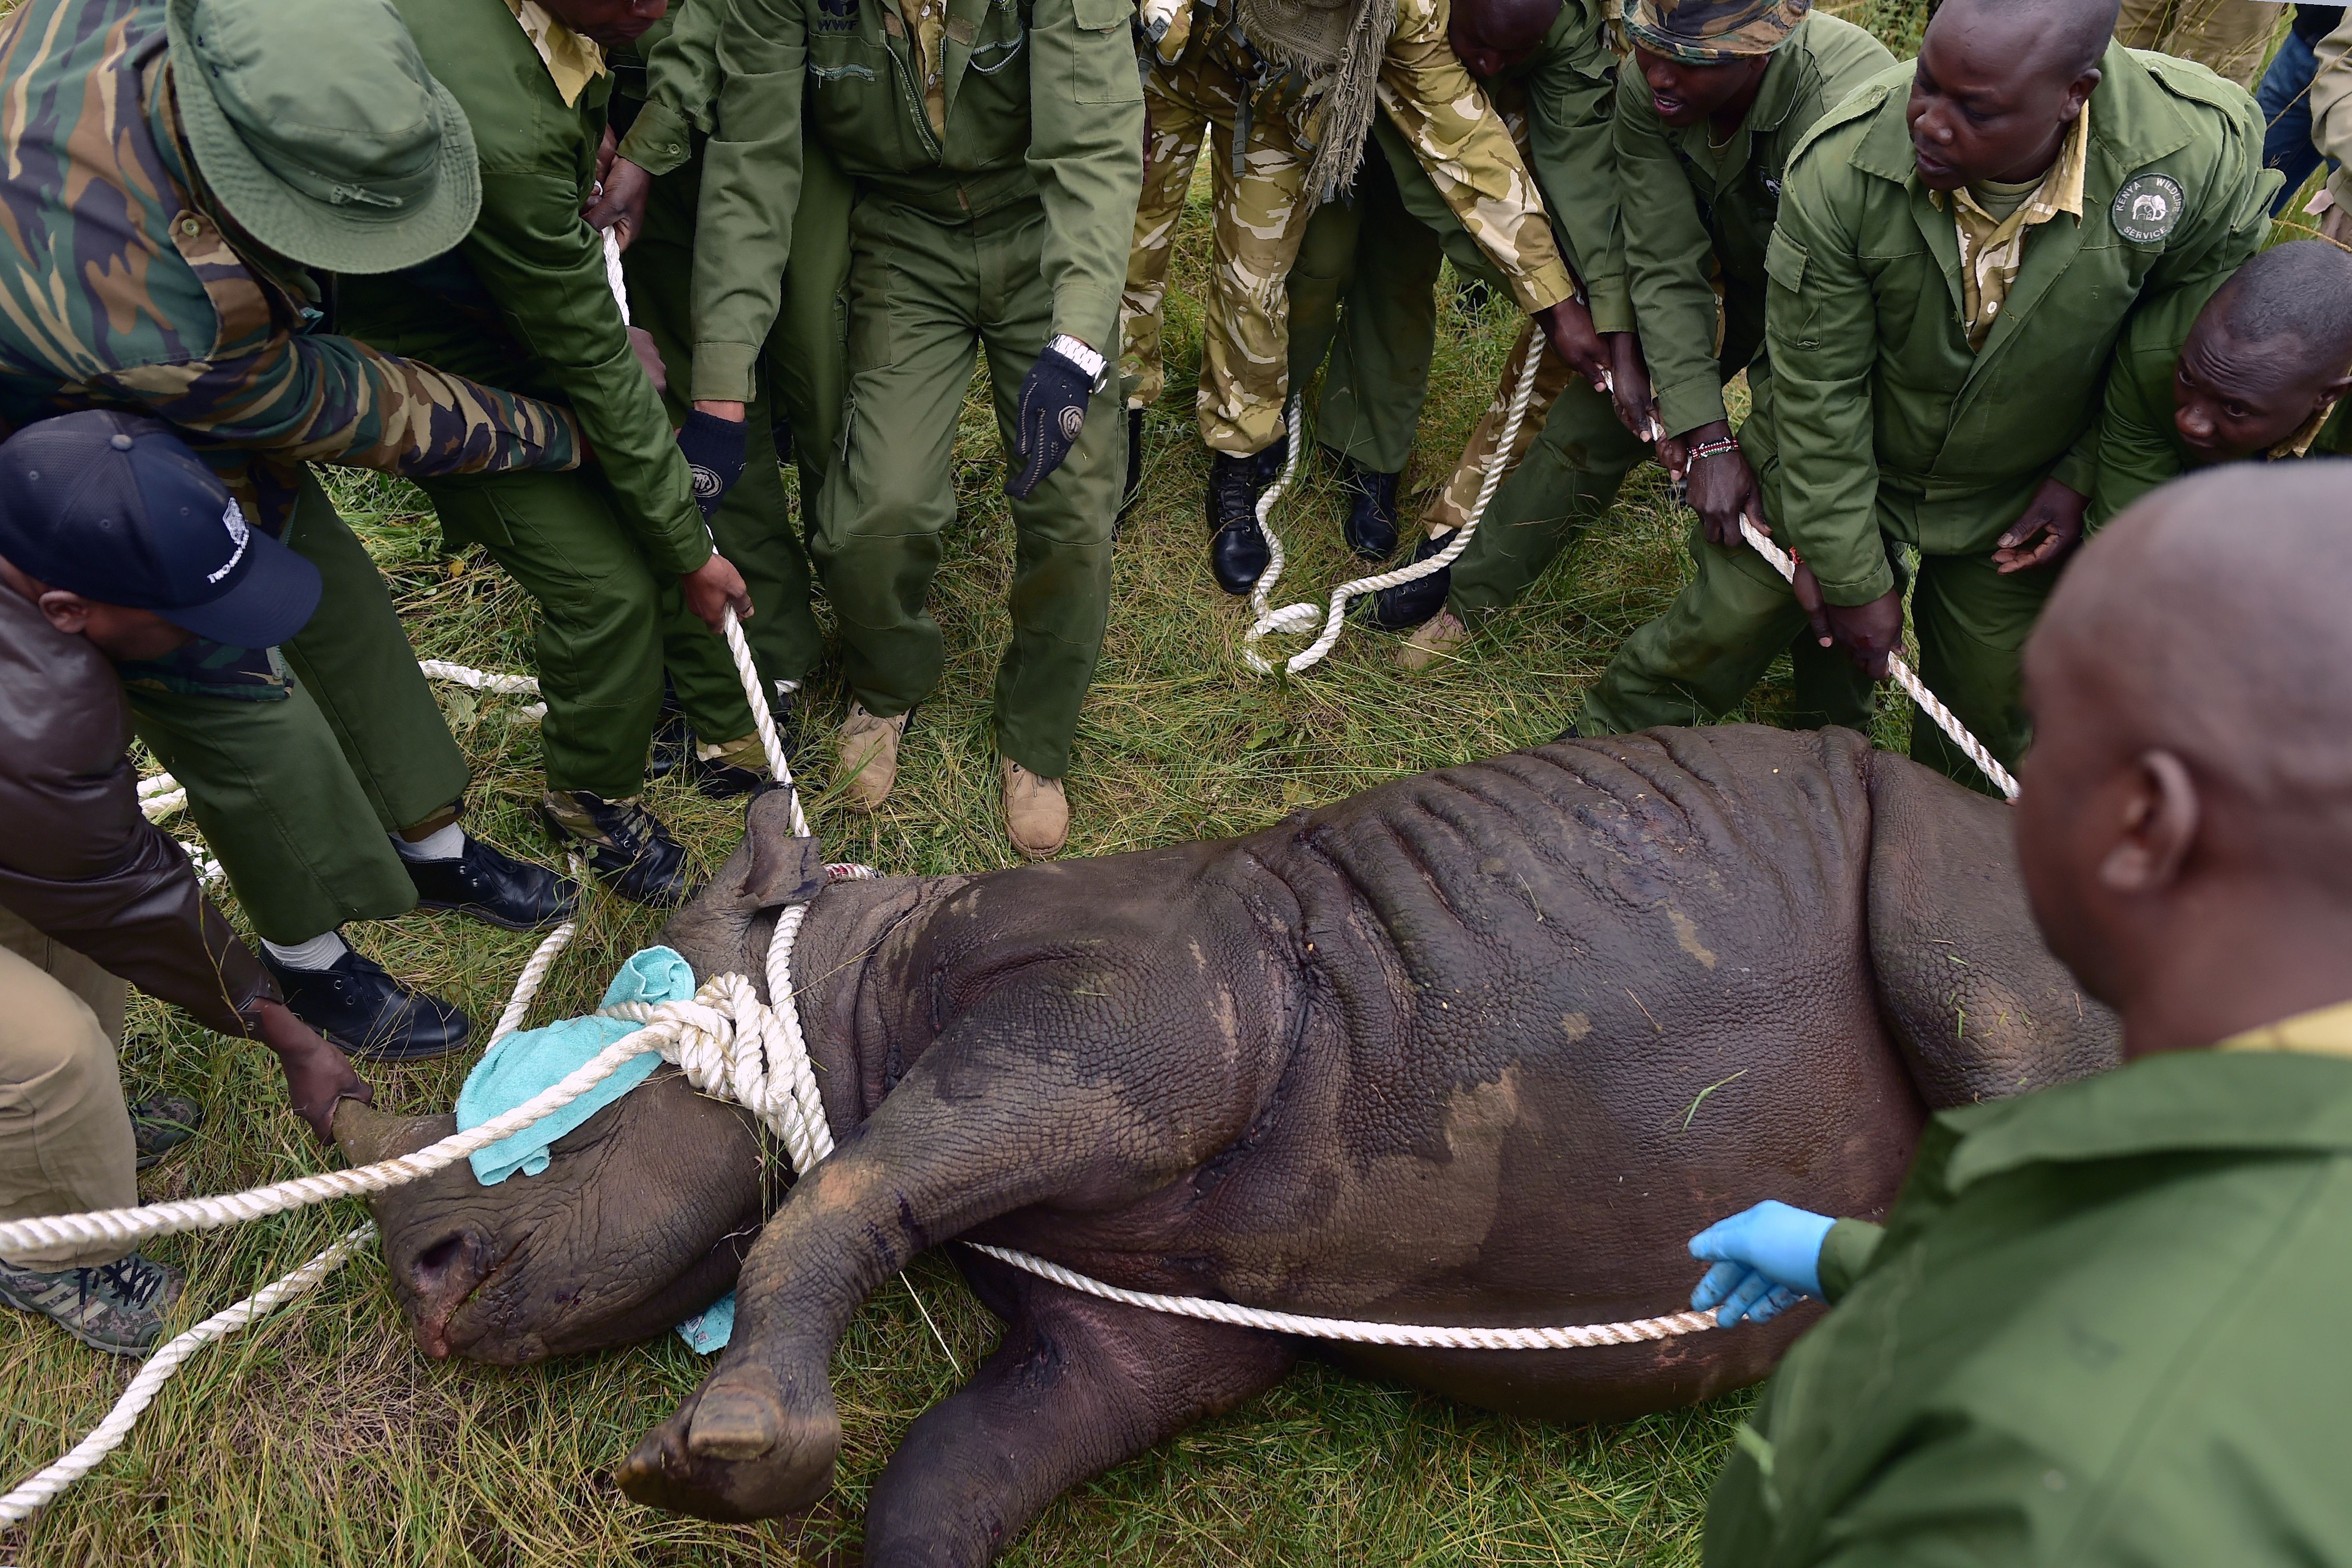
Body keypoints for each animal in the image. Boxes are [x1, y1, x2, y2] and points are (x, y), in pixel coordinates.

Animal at [333, 725, 2119, 1565]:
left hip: (1958, 853)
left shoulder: (1148, 1022)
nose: (419, 1279)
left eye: (581, 1095)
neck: (847, 983)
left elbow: (840, 1187)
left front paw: (710, 1455)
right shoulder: (1139, 1329)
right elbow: (946, 1472)